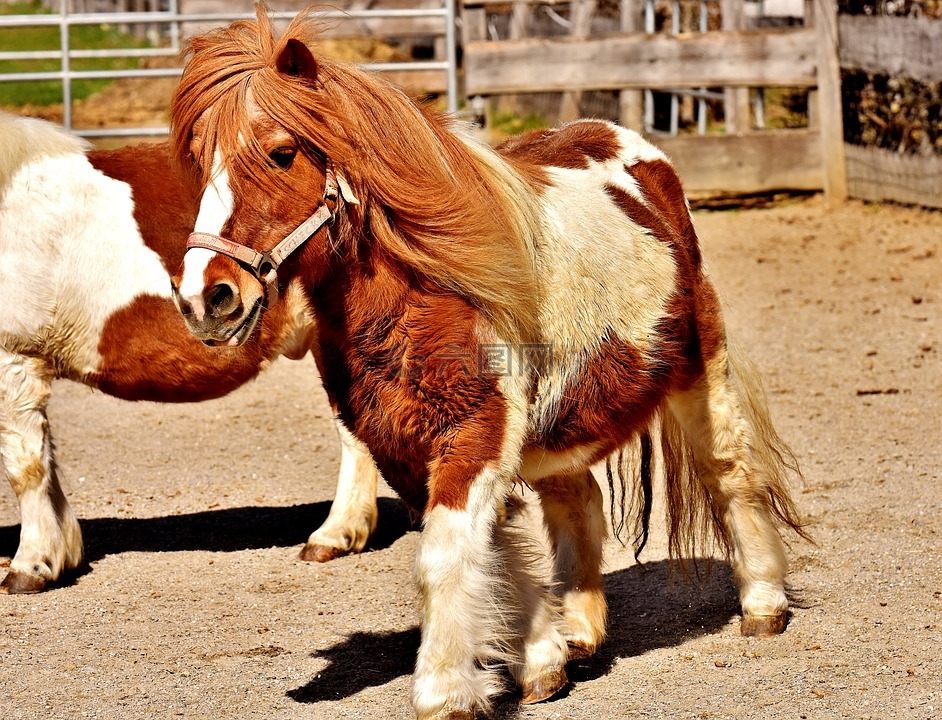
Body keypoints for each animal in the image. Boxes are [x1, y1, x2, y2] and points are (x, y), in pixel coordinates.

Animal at [1, 112, 384, 592]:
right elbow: (46, 461)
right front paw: (61, 553)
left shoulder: (14, 360)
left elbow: (25, 466)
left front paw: (30, 564)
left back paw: (334, 533)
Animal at [170, 8, 812, 716]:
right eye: (199, 162)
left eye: (281, 152)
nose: (205, 297)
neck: (423, 291)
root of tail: (629, 145)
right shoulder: (406, 451)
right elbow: (495, 549)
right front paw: (542, 660)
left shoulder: (475, 436)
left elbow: (444, 558)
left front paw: (444, 689)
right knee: (577, 501)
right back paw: (580, 628)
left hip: (700, 375)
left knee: (730, 471)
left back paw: (763, 604)